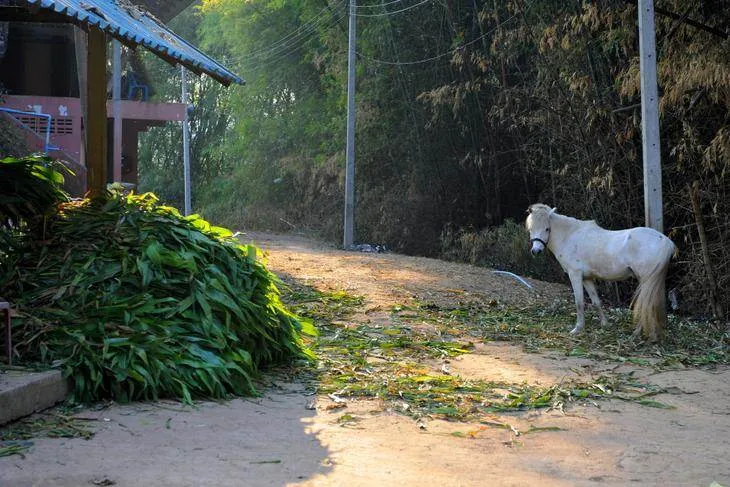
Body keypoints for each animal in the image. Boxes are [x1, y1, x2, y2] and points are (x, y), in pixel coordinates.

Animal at [525, 203, 676, 342]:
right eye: (531, 229)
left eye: (547, 229)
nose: (536, 251)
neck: (569, 236)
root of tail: (667, 242)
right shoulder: (587, 278)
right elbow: (596, 301)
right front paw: (605, 324)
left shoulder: (575, 275)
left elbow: (579, 302)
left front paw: (578, 328)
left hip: (647, 281)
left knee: (646, 306)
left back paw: (636, 334)